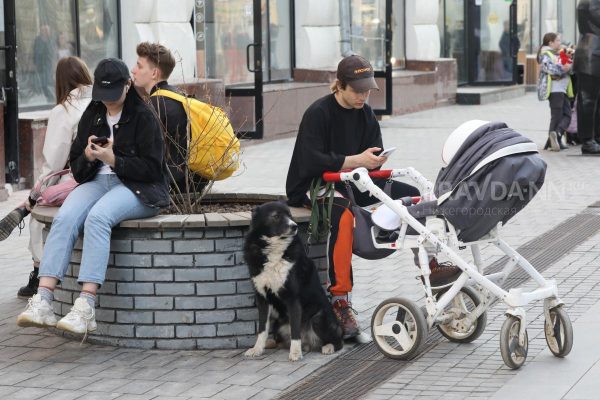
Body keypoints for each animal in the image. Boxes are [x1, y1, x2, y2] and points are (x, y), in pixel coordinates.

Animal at [243, 202, 342, 360]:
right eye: (276, 216)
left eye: (290, 215)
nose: (294, 226)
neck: (274, 249)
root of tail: (308, 343)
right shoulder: (262, 298)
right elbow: (262, 329)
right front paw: (257, 349)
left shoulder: (292, 298)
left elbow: (295, 329)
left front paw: (295, 353)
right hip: (278, 323)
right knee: (279, 339)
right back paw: (270, 343)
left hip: (319, 317)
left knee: (338, 341)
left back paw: (328, 347)